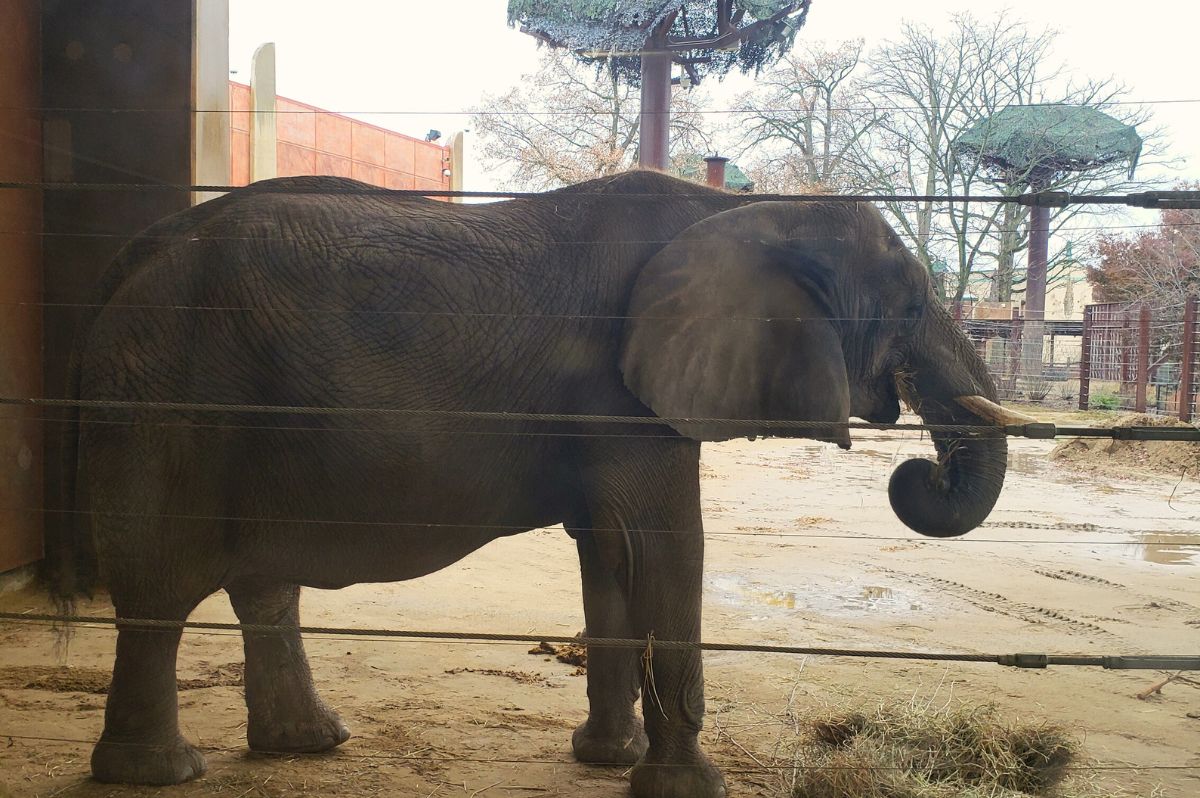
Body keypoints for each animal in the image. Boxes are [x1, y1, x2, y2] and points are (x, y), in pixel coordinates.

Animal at [49, 170, 1012, 797]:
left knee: (258, 583)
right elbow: (665, 546)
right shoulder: (629, 402)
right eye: (913, 304)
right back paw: (159, 774)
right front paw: (689, 785)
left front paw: (608, 761)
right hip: (168, 401)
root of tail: (130, 262)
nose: (918, 470)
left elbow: (611, 554)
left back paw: (308, 746)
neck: (754, 207)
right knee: (159, 589)